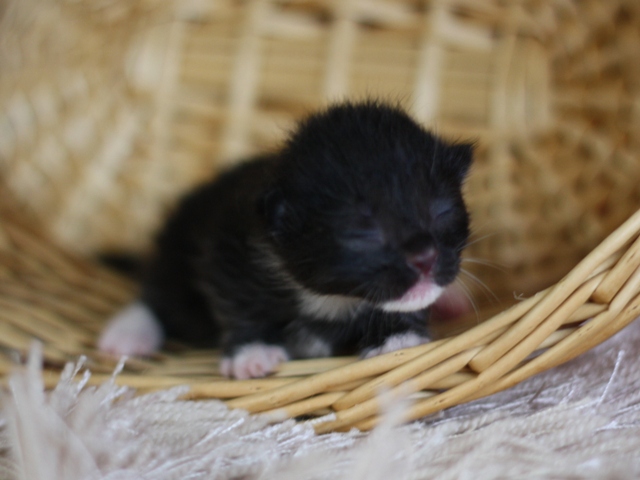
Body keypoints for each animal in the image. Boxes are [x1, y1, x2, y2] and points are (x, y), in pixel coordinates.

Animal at [97, 100, 472, 378]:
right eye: (362, 231)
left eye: (442, 211)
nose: (425, 257)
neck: (332, 299)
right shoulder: (226, 248)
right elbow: (237, 303)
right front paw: (251, 351)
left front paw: (399, 337)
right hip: (176, 248)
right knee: (159, 294)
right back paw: (128, 333)